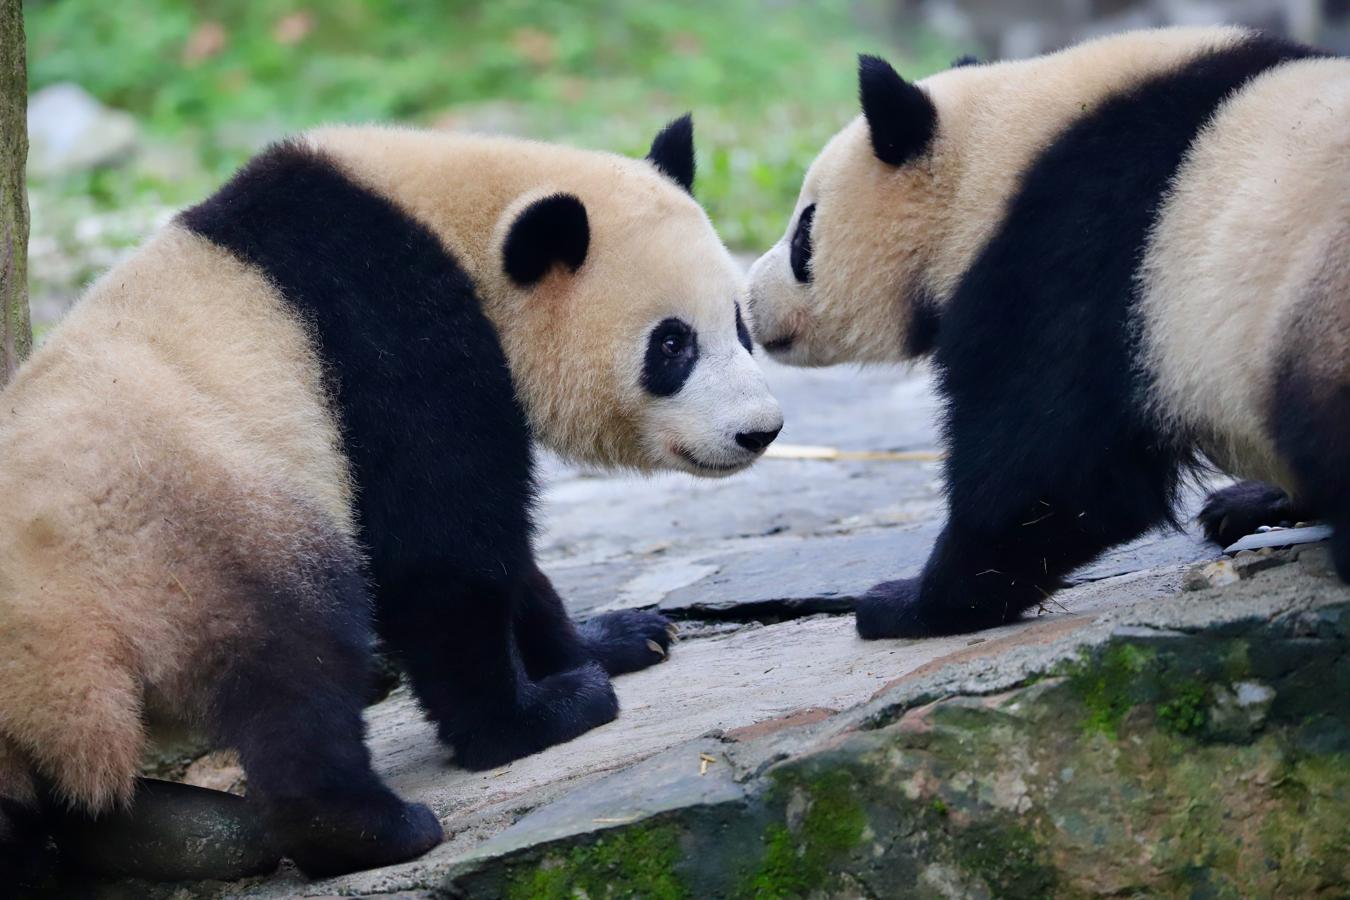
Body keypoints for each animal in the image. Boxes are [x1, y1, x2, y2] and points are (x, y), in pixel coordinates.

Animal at [0, 116, 783, 885]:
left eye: (742, 326)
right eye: (673, 345)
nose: (760, 430)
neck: (452, 221)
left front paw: (614, 639)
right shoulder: (391, 335)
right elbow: (442, 549)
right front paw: (534, 714)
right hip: (189, 540)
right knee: (298, 671)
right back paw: (373, 830)